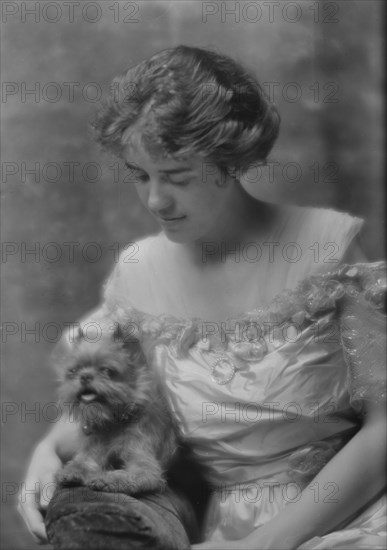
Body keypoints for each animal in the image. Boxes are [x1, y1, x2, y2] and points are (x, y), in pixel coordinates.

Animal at [53, 326, 178, 498]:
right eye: (74, 370)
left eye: (107, 371)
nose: (85, 376)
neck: (113, 422)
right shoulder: (93, 448)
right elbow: (84, 461)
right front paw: (74, 469)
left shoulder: (144, 465)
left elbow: (128, 475)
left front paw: (107, 479)